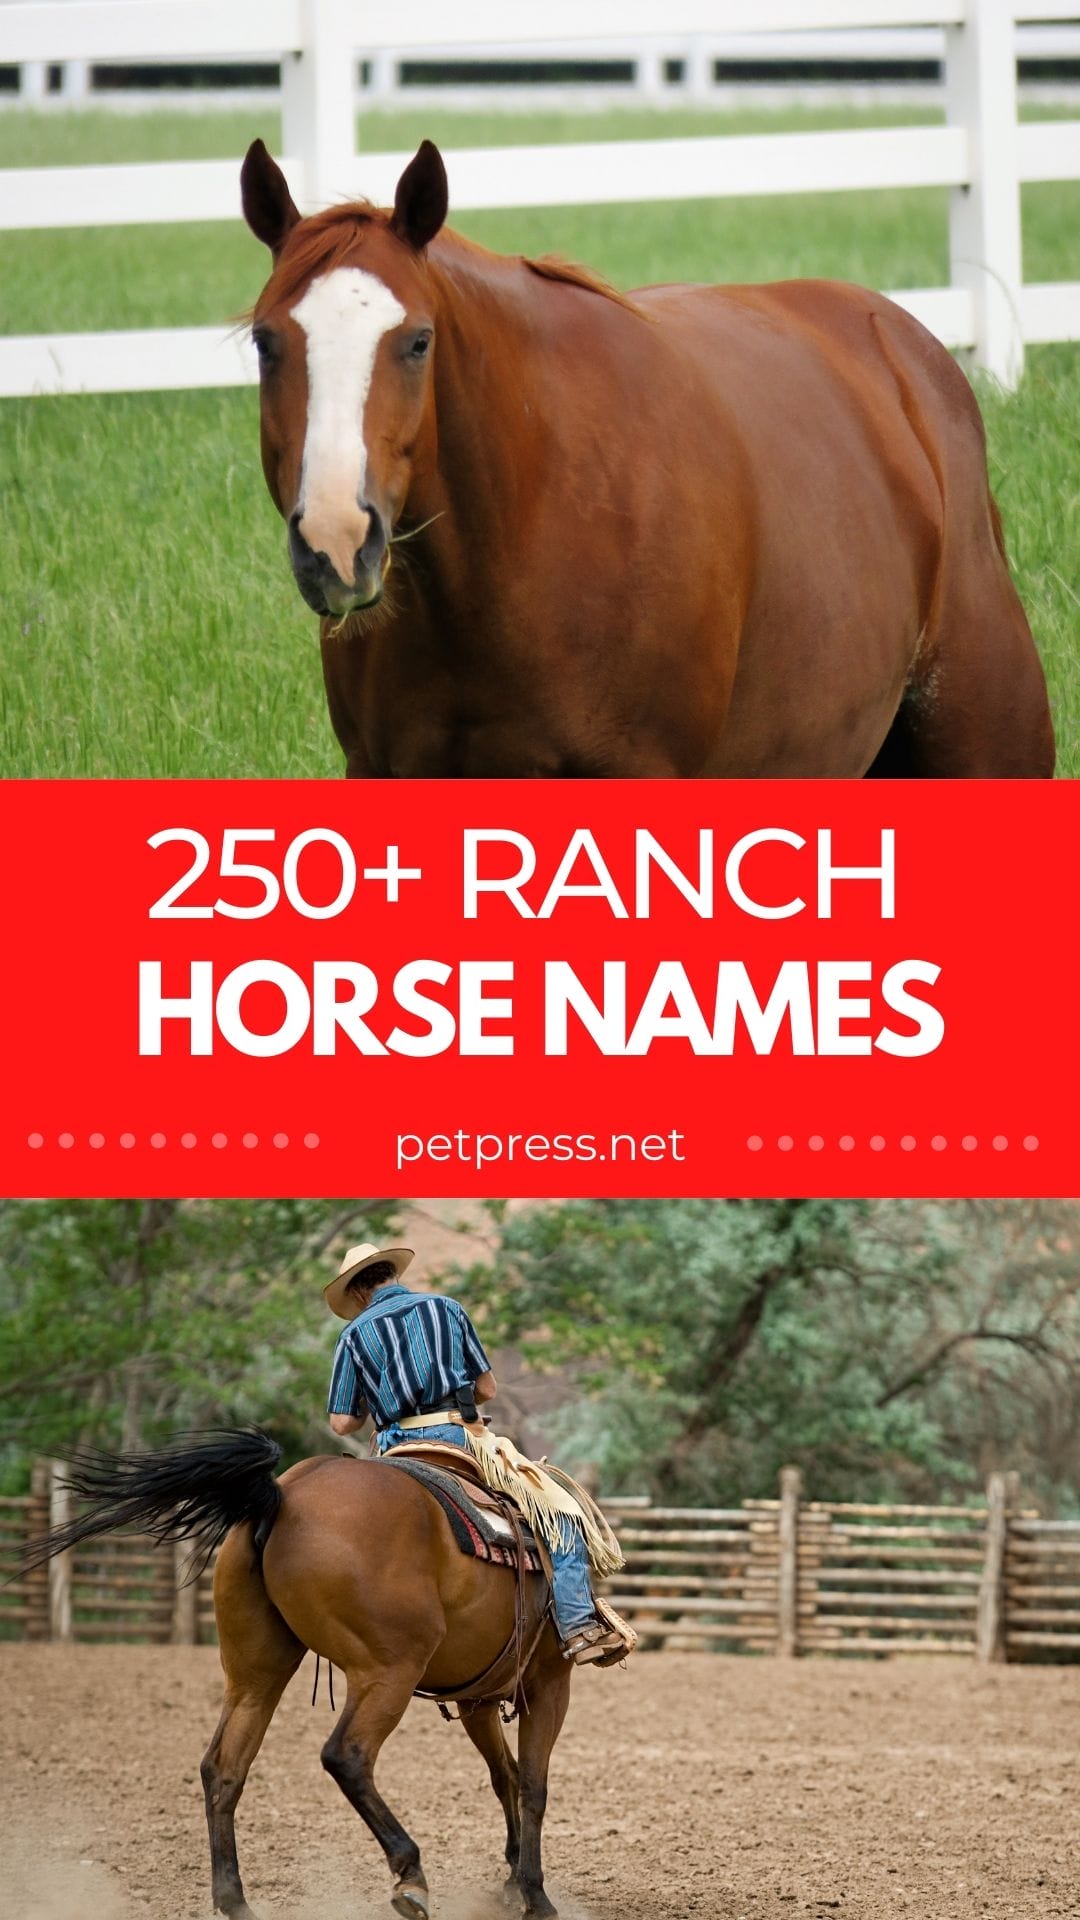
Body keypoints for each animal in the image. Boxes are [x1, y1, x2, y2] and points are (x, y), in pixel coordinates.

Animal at [24, 1431, 573, 1920]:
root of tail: (284, 1494)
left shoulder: (477, 1695)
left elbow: (506, 1775)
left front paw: (512, 1882)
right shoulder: (548, 1683)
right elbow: (534, 1785)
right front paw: (535, 1895)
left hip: (255, 1674)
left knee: (223, 1766)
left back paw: (235, 1900)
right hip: (387, 1672)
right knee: (346, 1755)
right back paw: (410, 1876)